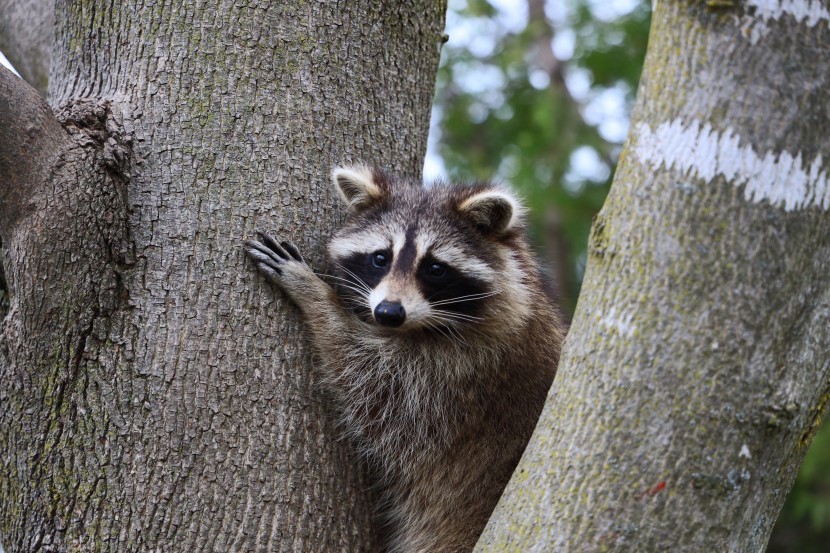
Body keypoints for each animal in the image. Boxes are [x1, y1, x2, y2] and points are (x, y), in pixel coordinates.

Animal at [242, 165, 564, 552]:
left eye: (435, 268)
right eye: (380, 258)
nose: (388, 312)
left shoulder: (462, 373)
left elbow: (366, 376)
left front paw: (313, 293)